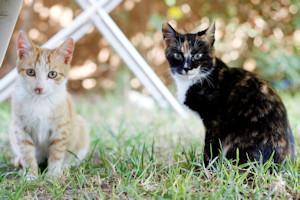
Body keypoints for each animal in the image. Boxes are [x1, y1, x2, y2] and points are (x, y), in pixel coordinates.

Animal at [10, 31, 90, 180]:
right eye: (30, 72)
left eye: (52, 74)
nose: (39, 88)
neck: (40, 102)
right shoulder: (20, 128)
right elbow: (27, 152)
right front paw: (31, 175)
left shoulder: (61, 128)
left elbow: (57, 152)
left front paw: (53, 175)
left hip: (81, 128)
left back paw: (66, 166)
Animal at [163, 22, 294, 166]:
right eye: (178, 55)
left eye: (197, 55)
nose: (187, 68)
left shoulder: (215, 122)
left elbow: (210, 147)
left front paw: (206, 167)